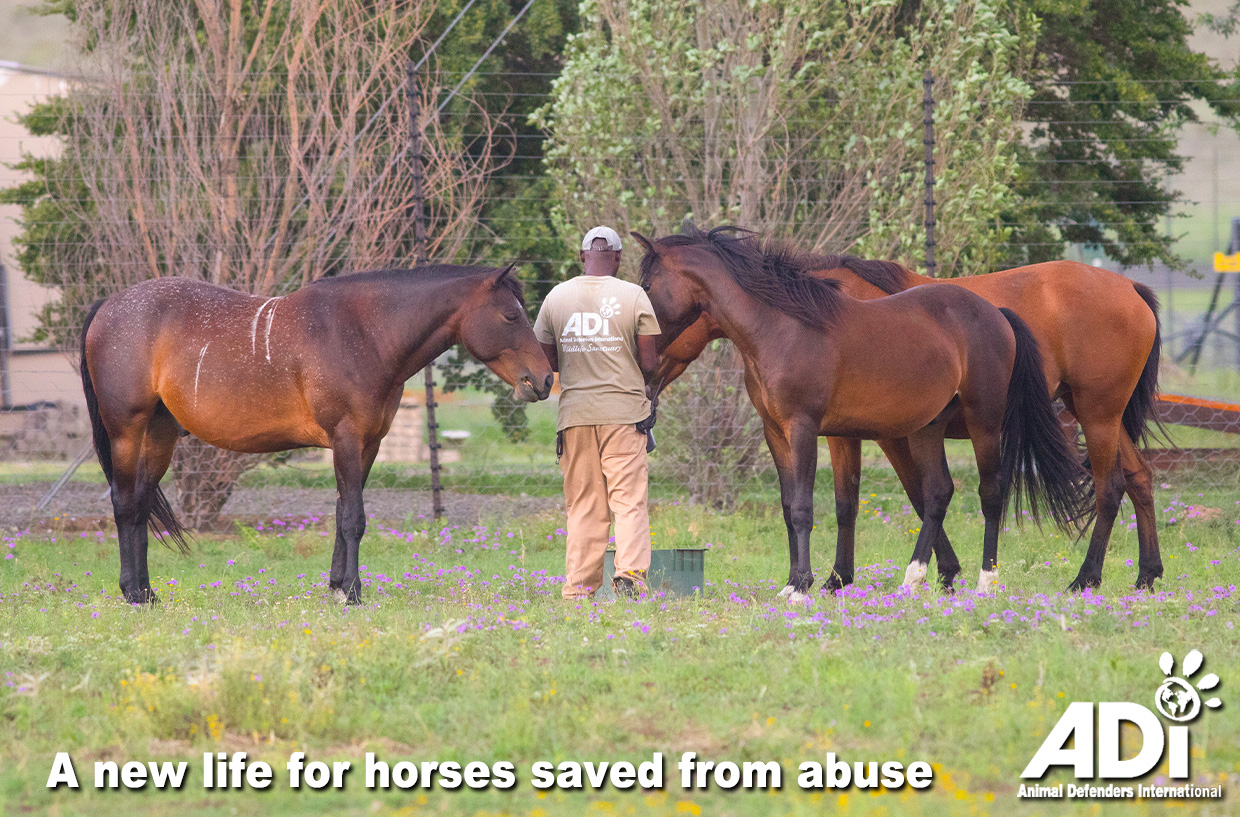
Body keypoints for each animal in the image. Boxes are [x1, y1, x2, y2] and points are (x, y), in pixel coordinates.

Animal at [80, 265, 554, 605]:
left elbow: (345, 510)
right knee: (125, 503)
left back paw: (148, 592)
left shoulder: (368, 444)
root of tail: (109, 305)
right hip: (127, 430)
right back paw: (132, 593)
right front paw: (354, 594)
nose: (545, 379)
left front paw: (337, 585)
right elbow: (353, 518)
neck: (364, 332)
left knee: (141, 503)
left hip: (160, 433)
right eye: (511, 315)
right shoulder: (345, 438)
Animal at [652, 243, 1162, 591]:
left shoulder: (871, 434)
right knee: (1139, 478)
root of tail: (1130, 288)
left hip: (1095, 414)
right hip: (1099, 415)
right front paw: (844, 578)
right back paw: (1147, 576)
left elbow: (902, 496)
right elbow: (865, 500)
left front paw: (931, 572)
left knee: (1108, 488)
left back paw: (1085, 578)